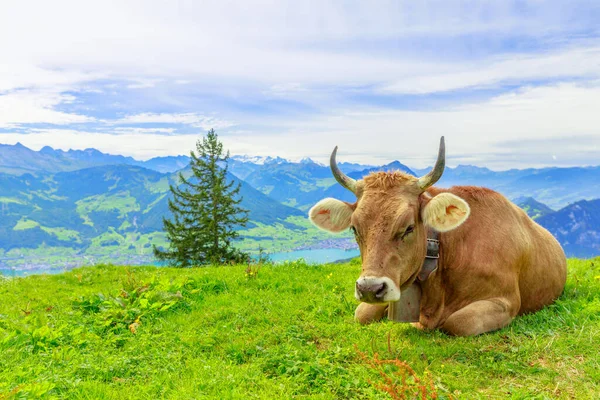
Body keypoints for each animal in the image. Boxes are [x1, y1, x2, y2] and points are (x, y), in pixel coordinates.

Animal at [310, 138, 568, 334]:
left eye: (409, 227)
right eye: (354, 228)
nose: (370, 289)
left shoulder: (506, 301)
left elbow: (457, 323)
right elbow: (362, 313)